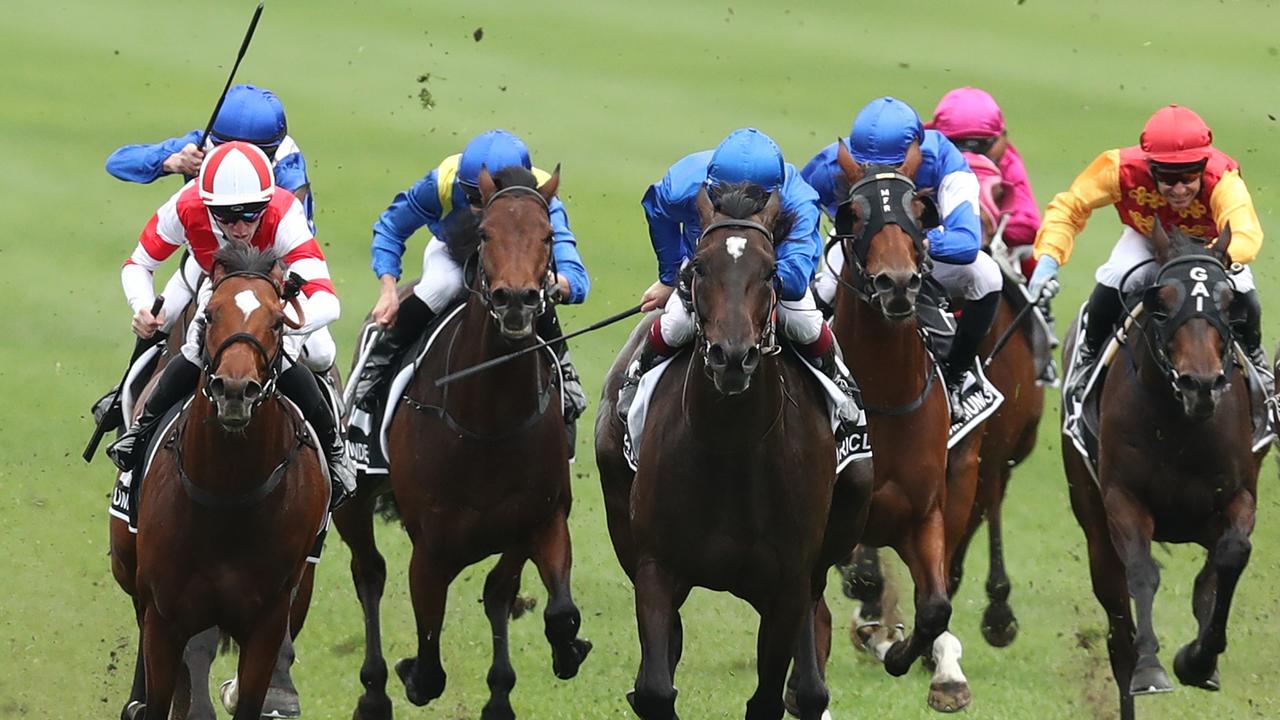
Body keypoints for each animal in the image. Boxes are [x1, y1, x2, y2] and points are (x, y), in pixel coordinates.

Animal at [108, 243, 330, 712]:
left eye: (278, 321)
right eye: (210, 315)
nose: (234, 390)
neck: (229, 492)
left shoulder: (268, 619)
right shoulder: (166, 612)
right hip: (128, 564)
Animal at [330, 163, 588, 717]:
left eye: (548, 235)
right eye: (486, 232)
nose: (517, 302)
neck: (489, 422)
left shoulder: (541, 518)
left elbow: (544, 605)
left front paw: (558, 655)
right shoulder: (432, 547)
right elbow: (428, 664)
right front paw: (409, 674)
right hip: (353, 500)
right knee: (369, 573)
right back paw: (374, 690)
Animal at [593, 181, 875, 717]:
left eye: (770, 271)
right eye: (700, 267)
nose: (732, 356)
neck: (731, 445)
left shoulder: (788, 582)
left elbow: (767, 696)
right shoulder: (657, 566)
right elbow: (656, 688)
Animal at [819, 142, 977, 707]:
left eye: (919, 210)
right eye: (853, 212)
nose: (897, 282)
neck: (883, 397)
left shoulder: (923, 514)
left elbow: (935, 605)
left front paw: (913, 658)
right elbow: (859, 577)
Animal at [1064, 221, 1264, 712]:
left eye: (1228, 304)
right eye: (1162, 305)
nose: (1201, 384)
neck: (1181, 426)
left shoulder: (1237, 496)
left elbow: (1231, 556)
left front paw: (1199, 659)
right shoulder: (1123, 498)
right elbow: (1142, 570)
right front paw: (1151, 667)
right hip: (1095, 527)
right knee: (1118, 626)